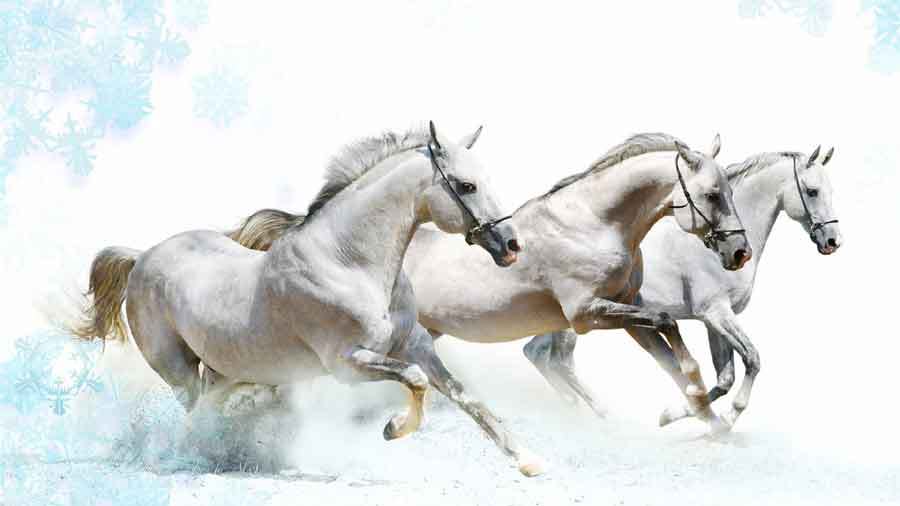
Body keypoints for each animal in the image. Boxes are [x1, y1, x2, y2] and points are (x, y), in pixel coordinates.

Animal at [71, 122, 550, 477]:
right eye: (467, 186)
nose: (512, 245)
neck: (349, 262)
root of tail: (142, 256)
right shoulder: (347, 364)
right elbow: (415, 381)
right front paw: (393, 429)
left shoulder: (416, 345)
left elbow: (465, 396)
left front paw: (529, 461)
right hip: (178, 370)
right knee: (195, 413)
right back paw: (206, 456)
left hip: (226, 370)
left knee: (209, 408)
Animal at [225, 132, 752, 431]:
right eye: (712, 193)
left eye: (728, 190)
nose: (739, 252)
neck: (595, 222)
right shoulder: (587, 315)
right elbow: (669, 324)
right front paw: (699, 406)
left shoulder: (624, 312)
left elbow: (671, 346)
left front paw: (702, 417)